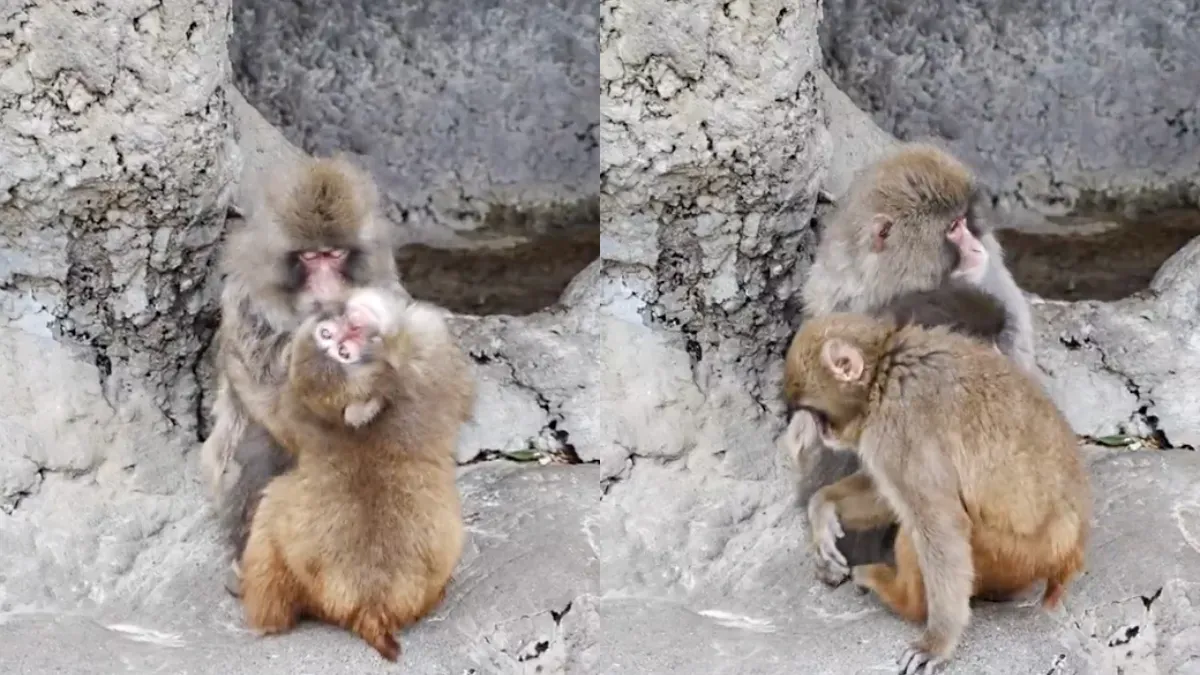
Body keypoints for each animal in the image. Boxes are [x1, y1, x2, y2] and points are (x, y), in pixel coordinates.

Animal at [238, 287, 474, 661]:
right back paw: (268, 622)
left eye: (333, 338)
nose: (350, 328)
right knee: (270, 512)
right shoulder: (428, 347)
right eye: (341, 351)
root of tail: (371, 605)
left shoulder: (297, 402)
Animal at [784, 313, 1090, 674]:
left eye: (815, 411)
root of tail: (1070, 549)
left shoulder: (897, 430)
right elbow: (887, 497)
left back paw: (902, 599)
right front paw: (823, 510)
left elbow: (941, 524)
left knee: (923, 530)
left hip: (1012, 553)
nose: (821, 432)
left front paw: (938, 642)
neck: (882, 375)